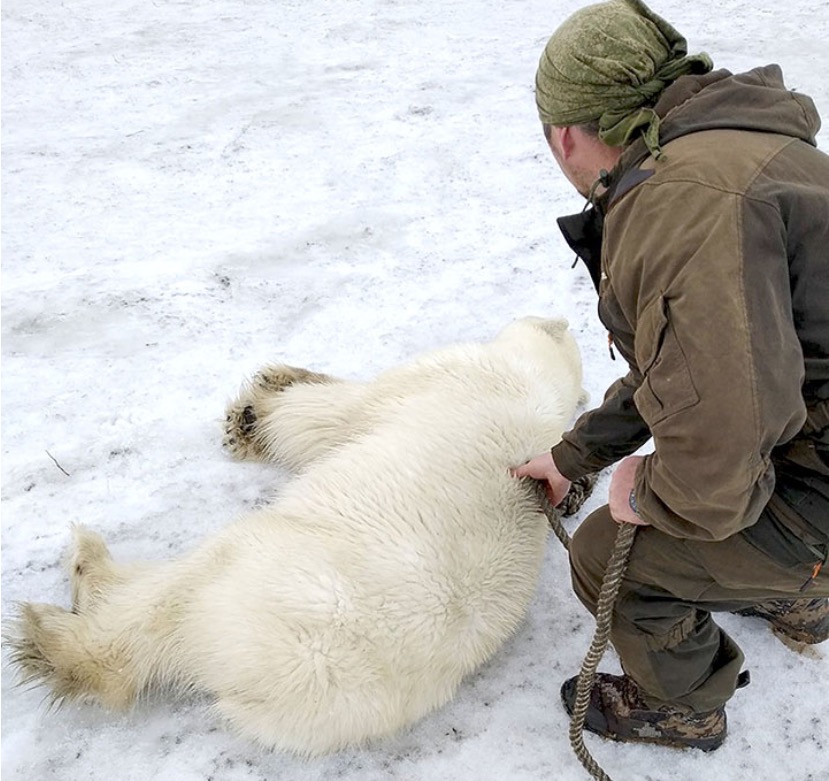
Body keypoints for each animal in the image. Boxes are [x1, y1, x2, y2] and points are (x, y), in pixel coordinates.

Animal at [6, 316, 588, 756]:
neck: (537, 383)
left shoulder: (444, 376)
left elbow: (328, 416)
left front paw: (253, 409)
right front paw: (273, 383)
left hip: (263, 572)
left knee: (165, 602)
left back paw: (76, 585)